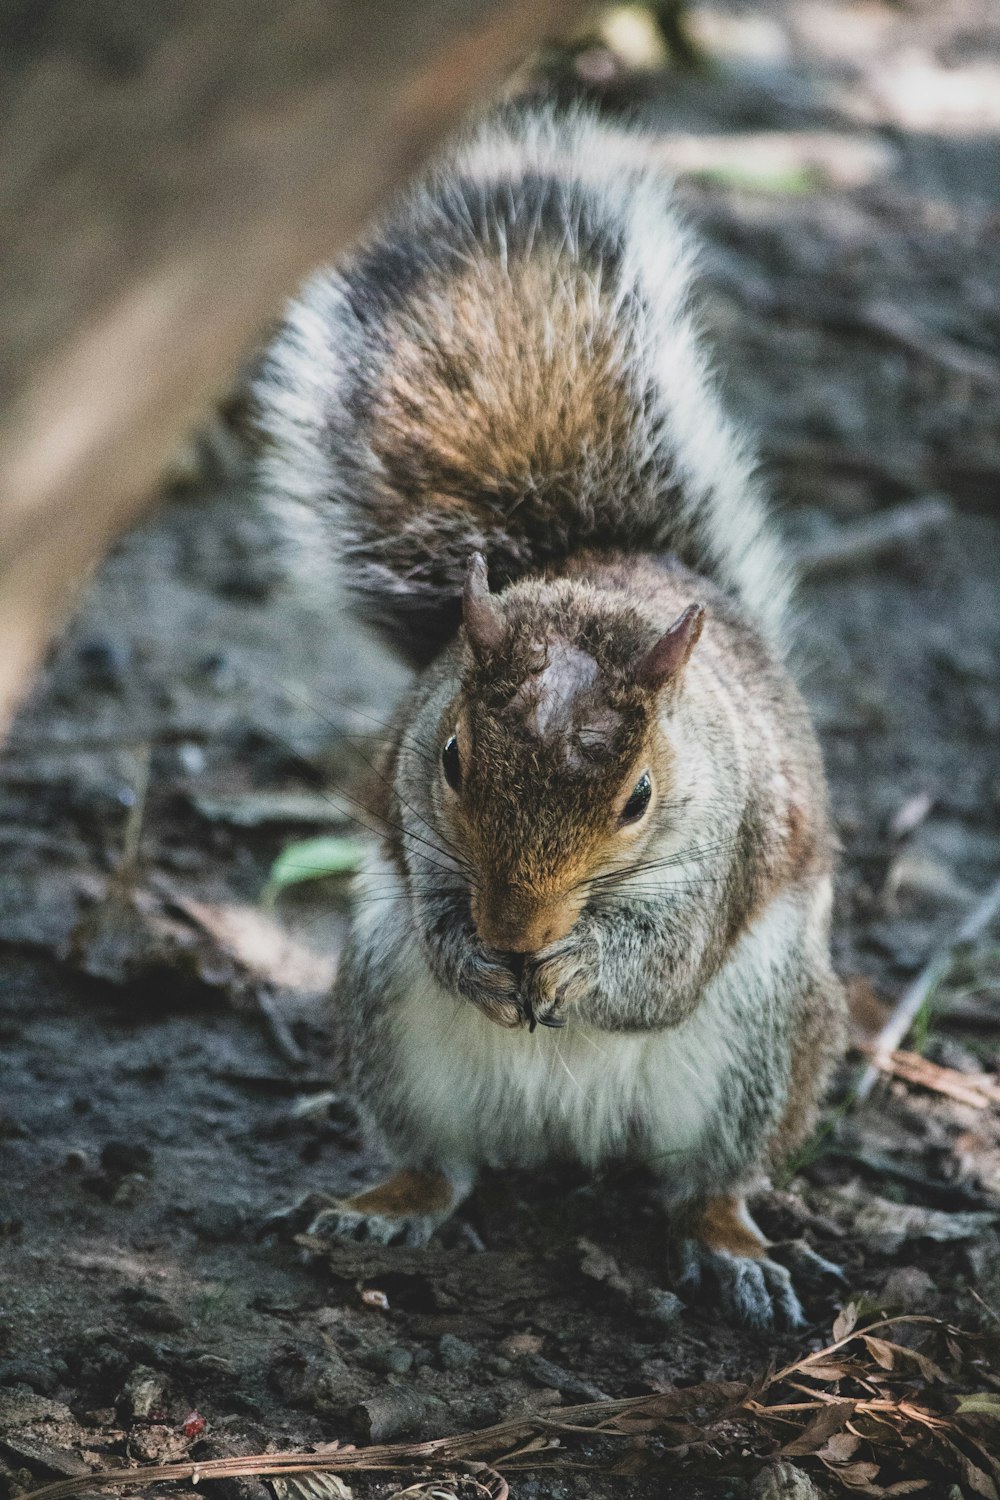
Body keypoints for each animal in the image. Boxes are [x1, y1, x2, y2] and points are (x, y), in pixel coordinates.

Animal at [254, 102, 851, 1326]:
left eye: (641, 798)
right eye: (447, 760)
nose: (518, 935)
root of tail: (572, 1132)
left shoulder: (724, 858)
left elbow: (658, 972)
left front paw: (580, 971)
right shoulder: (414, 832)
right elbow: (435, 915)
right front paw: (475, 957)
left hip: (763, 1043)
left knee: (708, 1179)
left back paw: (734, 1247)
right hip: (386, 1016)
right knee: (442, 1161)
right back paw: (386, 1205)